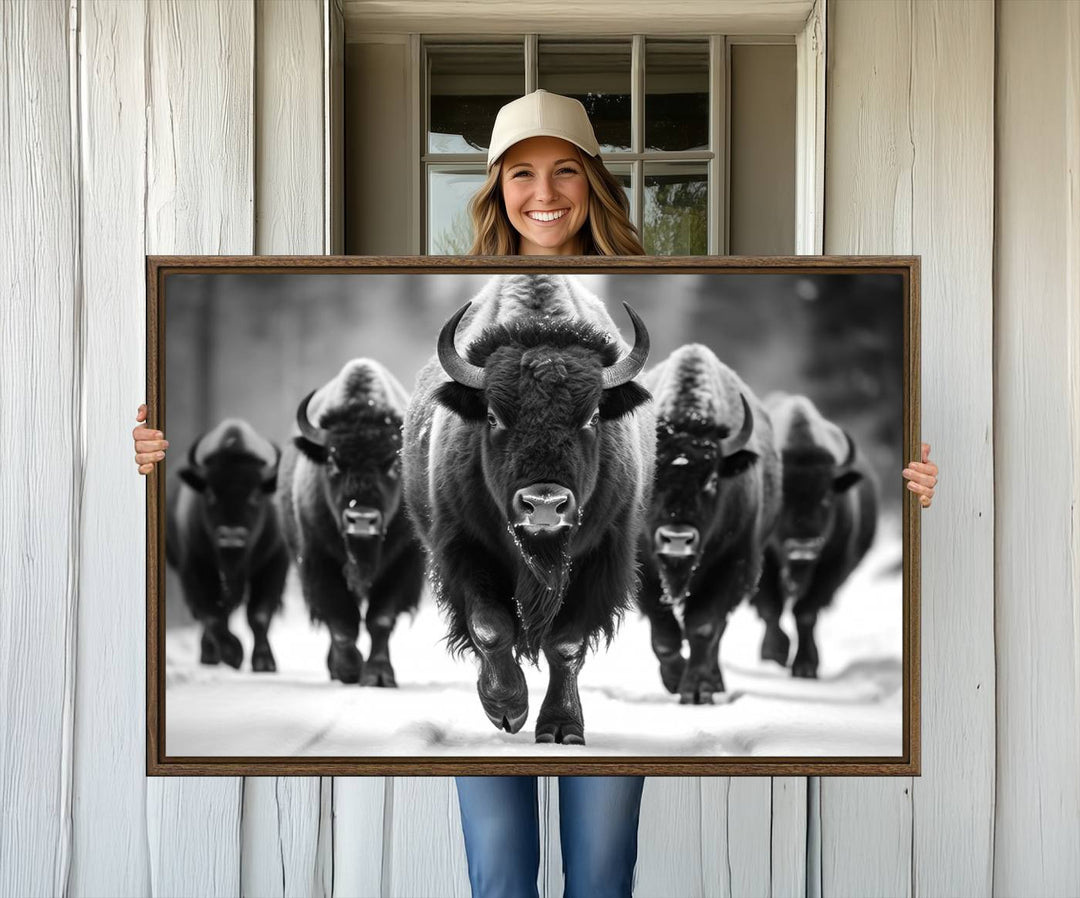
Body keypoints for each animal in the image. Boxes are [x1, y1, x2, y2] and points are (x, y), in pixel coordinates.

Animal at [166, 417, 289, 669]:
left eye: (255, 495)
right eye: (210, 494)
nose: (231, 536)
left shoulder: (274, 563)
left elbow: (259, 615)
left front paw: (264, 663)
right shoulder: (195, 567)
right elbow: (213, 615)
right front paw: (233, 653)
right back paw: (210, 655)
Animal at [278, 360, 425, 682]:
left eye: (393, 464)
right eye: (333, 463)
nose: (361, 519)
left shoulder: (403, 563)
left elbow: (380, 619)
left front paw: (379, 675)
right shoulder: (319, 561)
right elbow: (342, 622)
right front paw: (348, 670)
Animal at [403, 274, 648, 743]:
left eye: (592, 417)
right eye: (494, 417)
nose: (545, 505)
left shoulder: (600, 557)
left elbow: (566, 644)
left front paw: (562, 727)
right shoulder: (464, 549)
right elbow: (489, 627)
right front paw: (507, 708)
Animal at [635, 343, 781, 700]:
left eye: (713, 479)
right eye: (654, 476)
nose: (677, 538)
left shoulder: (730, 564)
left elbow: (703, 627)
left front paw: (698, 689)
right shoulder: (645, 569)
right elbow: (665, 635)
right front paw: (675, 680)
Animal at [751, 389, 876, 678]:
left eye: (826, 497)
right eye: (782, 498)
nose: (803, 547)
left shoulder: (830, 566)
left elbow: (805, 613)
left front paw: (806, 666)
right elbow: (771, 607)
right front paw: (774, 653)